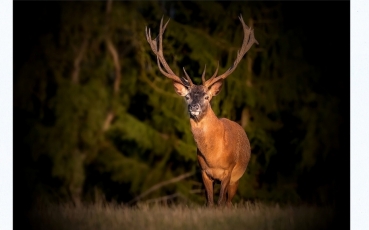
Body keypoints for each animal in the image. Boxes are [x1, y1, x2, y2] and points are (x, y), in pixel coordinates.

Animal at [144, 15, 256, 208]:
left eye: (206, 97)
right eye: (187, 97)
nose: (193, 107)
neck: (214, 156)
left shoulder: (228, 171)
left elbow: (220, 202)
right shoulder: (203, 171)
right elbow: (210, 202)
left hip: (237, 178)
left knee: (229, 202)